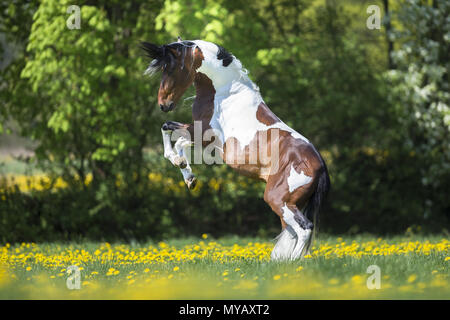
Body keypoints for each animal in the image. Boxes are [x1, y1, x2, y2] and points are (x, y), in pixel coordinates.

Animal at [141, 38, 330, 262]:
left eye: (169, 68)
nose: (163, 104)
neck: (224, 93)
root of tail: (320, 165)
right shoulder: (202, 137)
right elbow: (171, 131)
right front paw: (189, 178)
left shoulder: (204, 135)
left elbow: (174, 138)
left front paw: (183, 167)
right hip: (289, 204)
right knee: (291, 231)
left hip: (278, 199)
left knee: (304, 228)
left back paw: (294, 264)